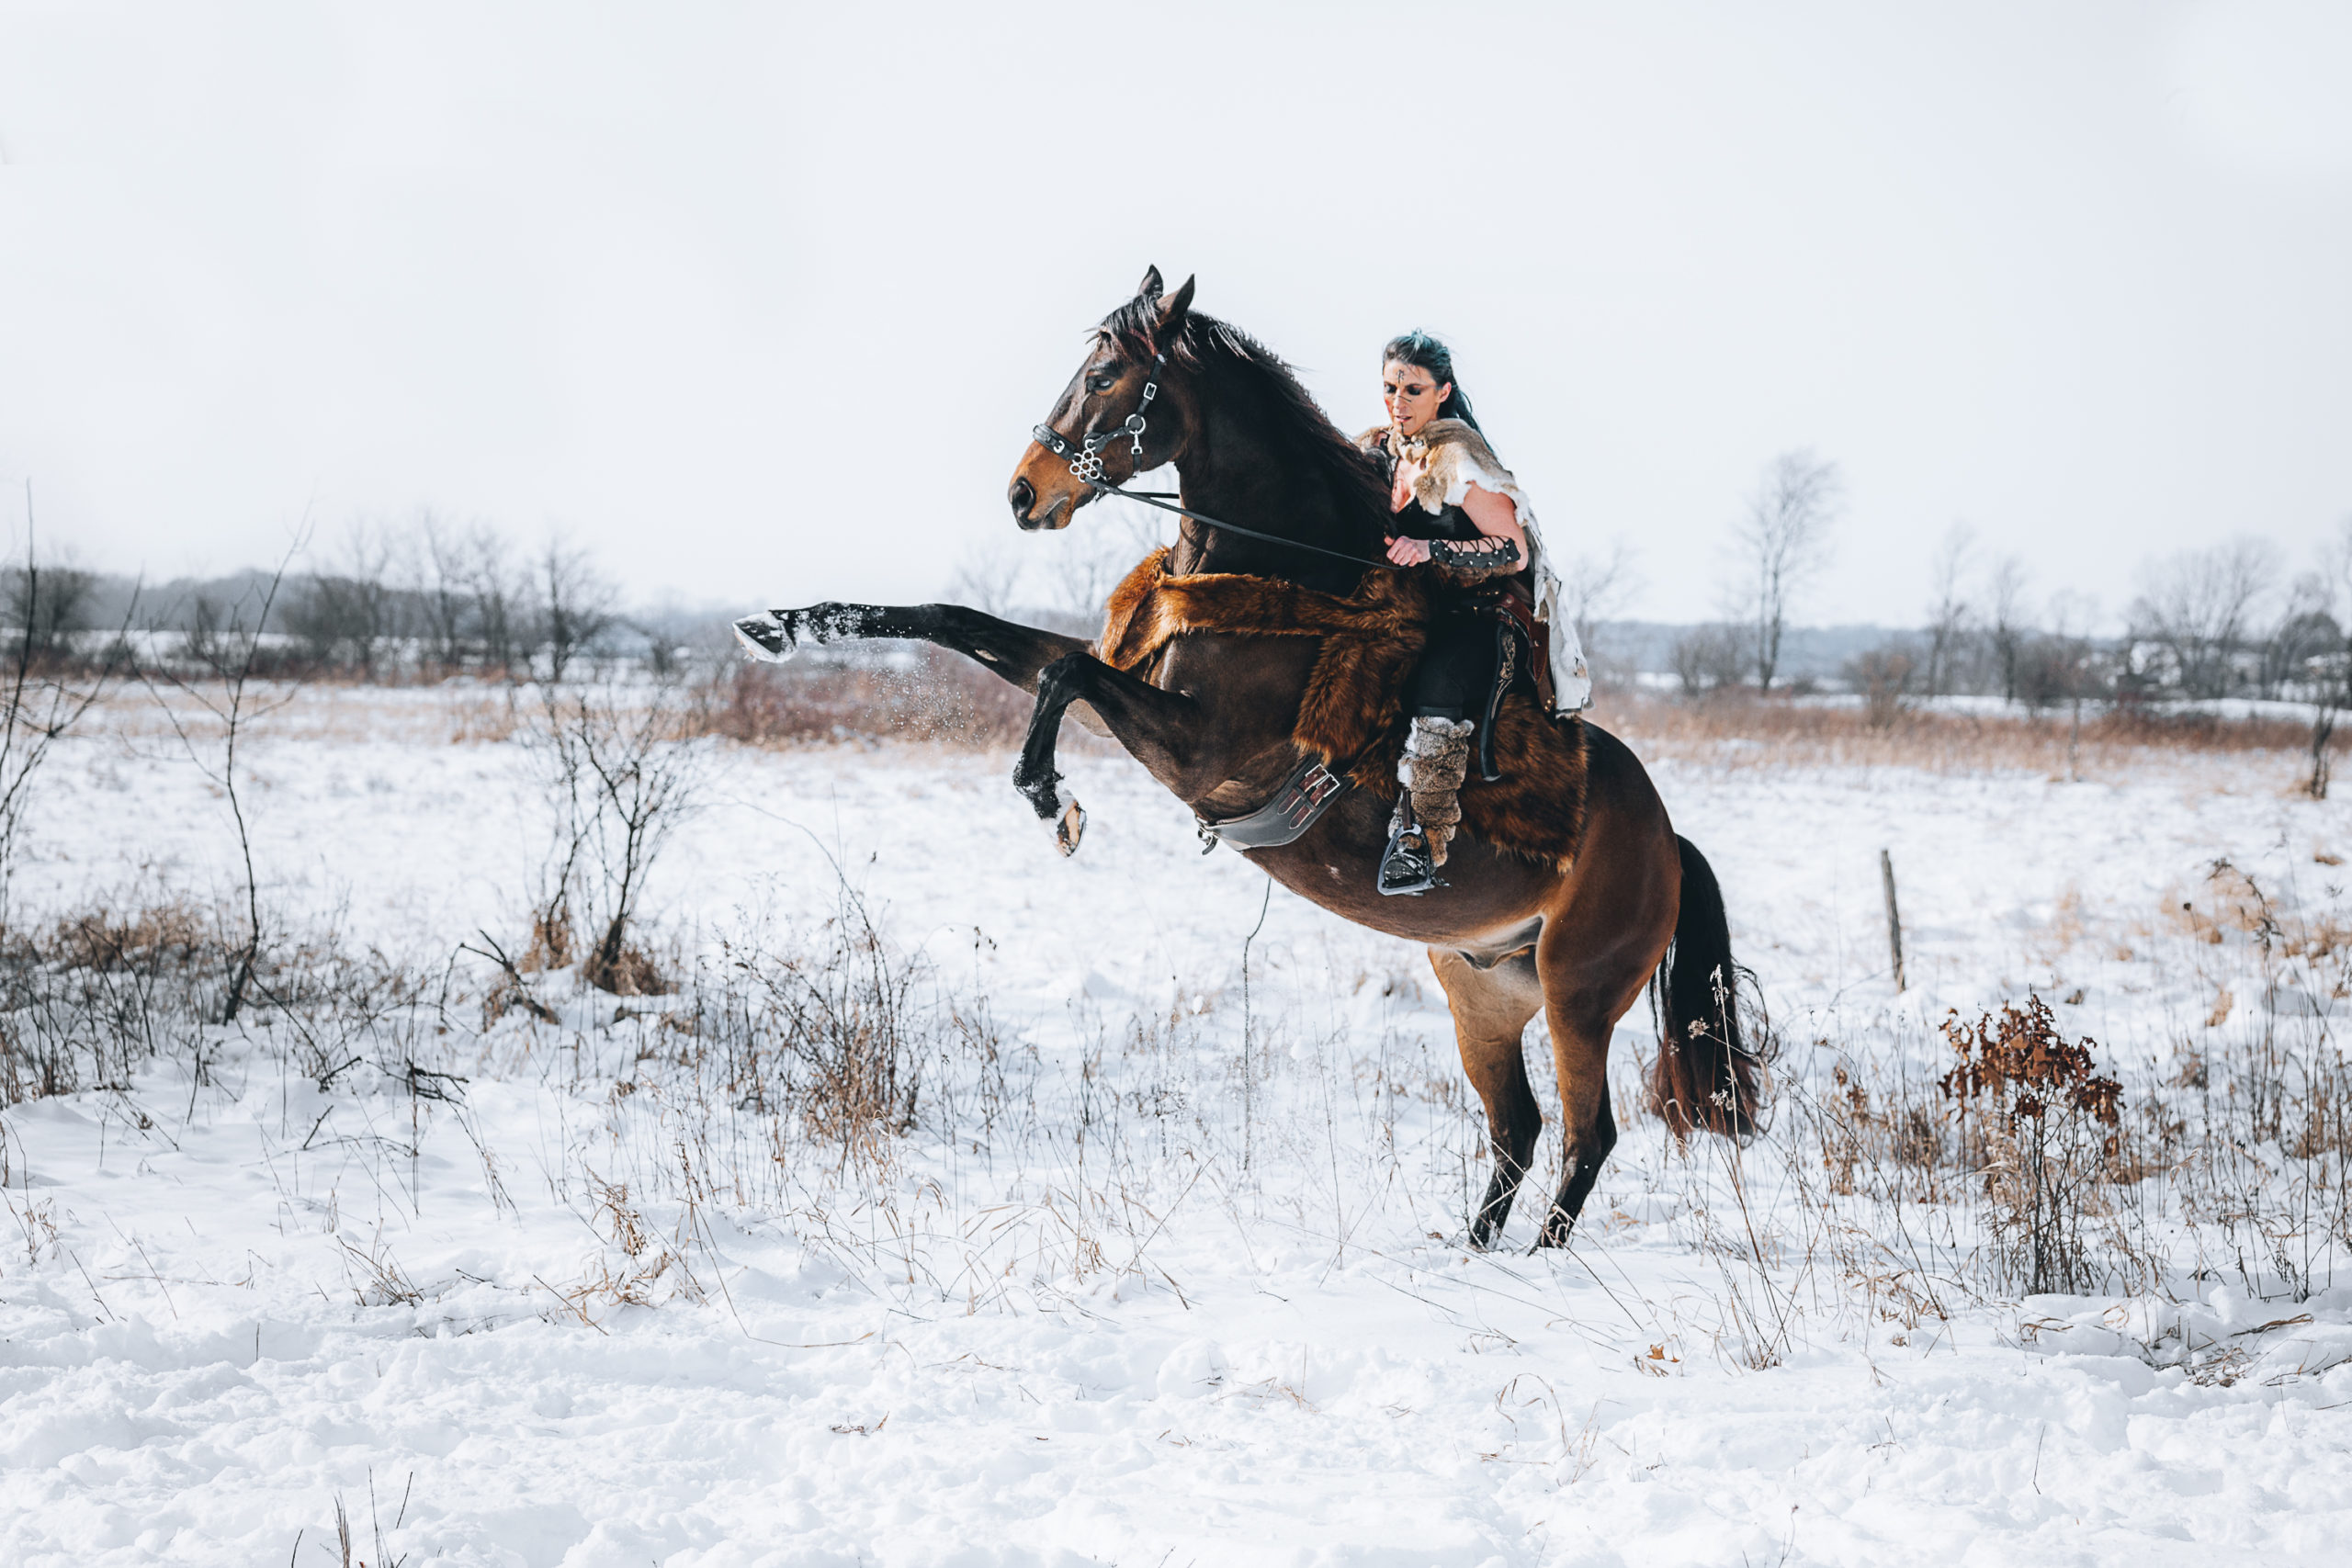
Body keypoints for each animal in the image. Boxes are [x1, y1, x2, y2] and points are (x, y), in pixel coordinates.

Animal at [733, 270, 1769, 1250]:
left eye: (1104, 377)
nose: (1025, 493)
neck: (1284, 569)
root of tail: (1667, 841)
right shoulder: (1128, 691)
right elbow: (963, 622)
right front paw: (784, 625)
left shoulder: (1201, 753)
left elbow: (1062, 672)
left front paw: (1047, 794)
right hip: (1480, 987)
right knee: (1516, 1129)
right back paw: (1472, 1254)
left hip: (1576, 996)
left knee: (1586, 1136)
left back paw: (1532, 1264)